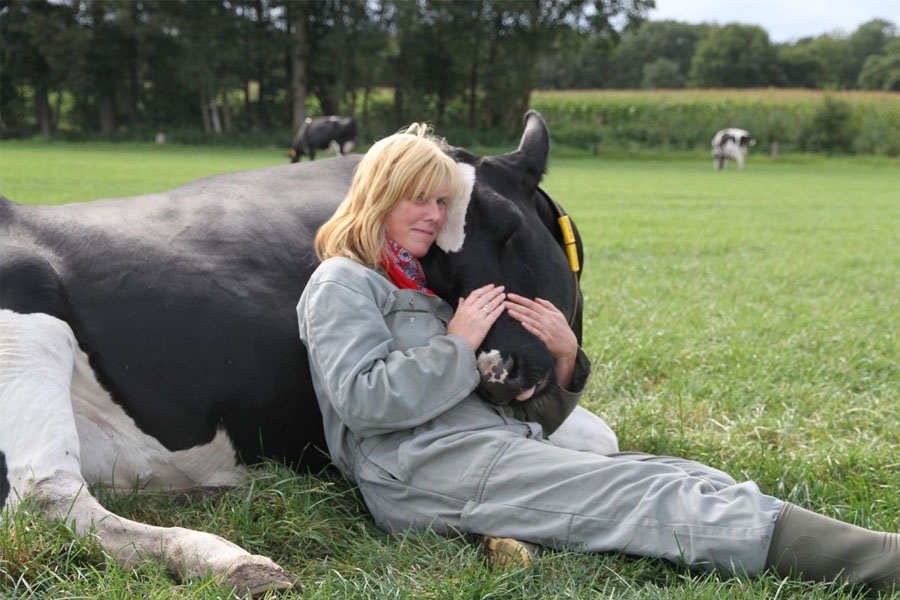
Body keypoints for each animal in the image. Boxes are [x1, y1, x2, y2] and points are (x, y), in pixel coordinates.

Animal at [0, 111, 612, 596]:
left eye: (509, 230)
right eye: (437, 259)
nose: (498, 371)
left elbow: (600, 437)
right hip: (27, 321)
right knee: (47, 497)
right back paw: (229, 561)